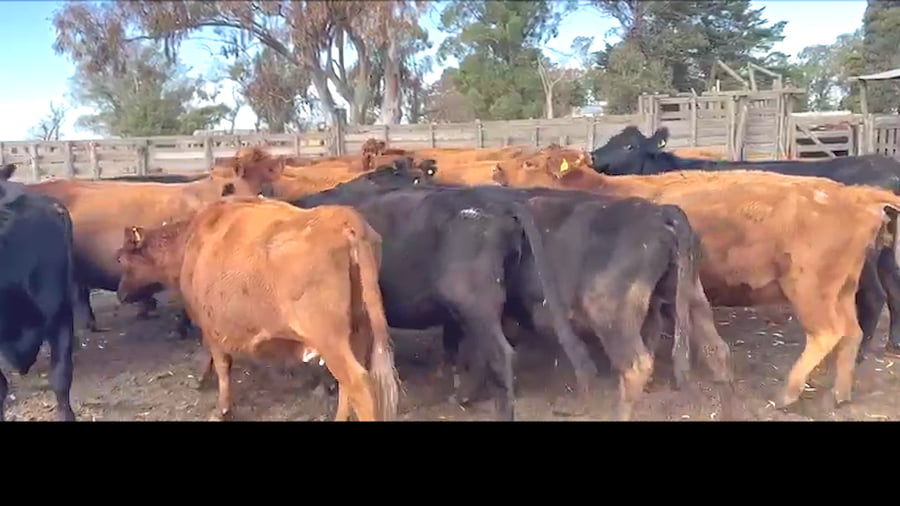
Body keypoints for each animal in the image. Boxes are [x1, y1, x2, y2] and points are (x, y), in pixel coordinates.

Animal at [115, 196, 400, 422]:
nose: (120, 293)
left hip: (330, 338)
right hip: (358, 329)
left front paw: (222, 406)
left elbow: (222, 364)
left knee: (359, 384)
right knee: (347, 385)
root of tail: (342, 217)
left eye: (122, 260)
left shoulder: (210, 323)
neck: (191, 243)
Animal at [493, 152, 900, 412]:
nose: (496, 170)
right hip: (842, 288)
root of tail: (855, 195)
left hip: (811, 289)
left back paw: (788, 393)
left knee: (828, 333)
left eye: (529, 162)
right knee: (851, 333)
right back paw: (839, 394)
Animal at [591, 125, 900, 361]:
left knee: (874, 297)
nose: (592, 155)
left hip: (862, 262)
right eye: (610, 139)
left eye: (629, 146)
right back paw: (892, 344)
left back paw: (859, 354)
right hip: (886, 253)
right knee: (893, 288)